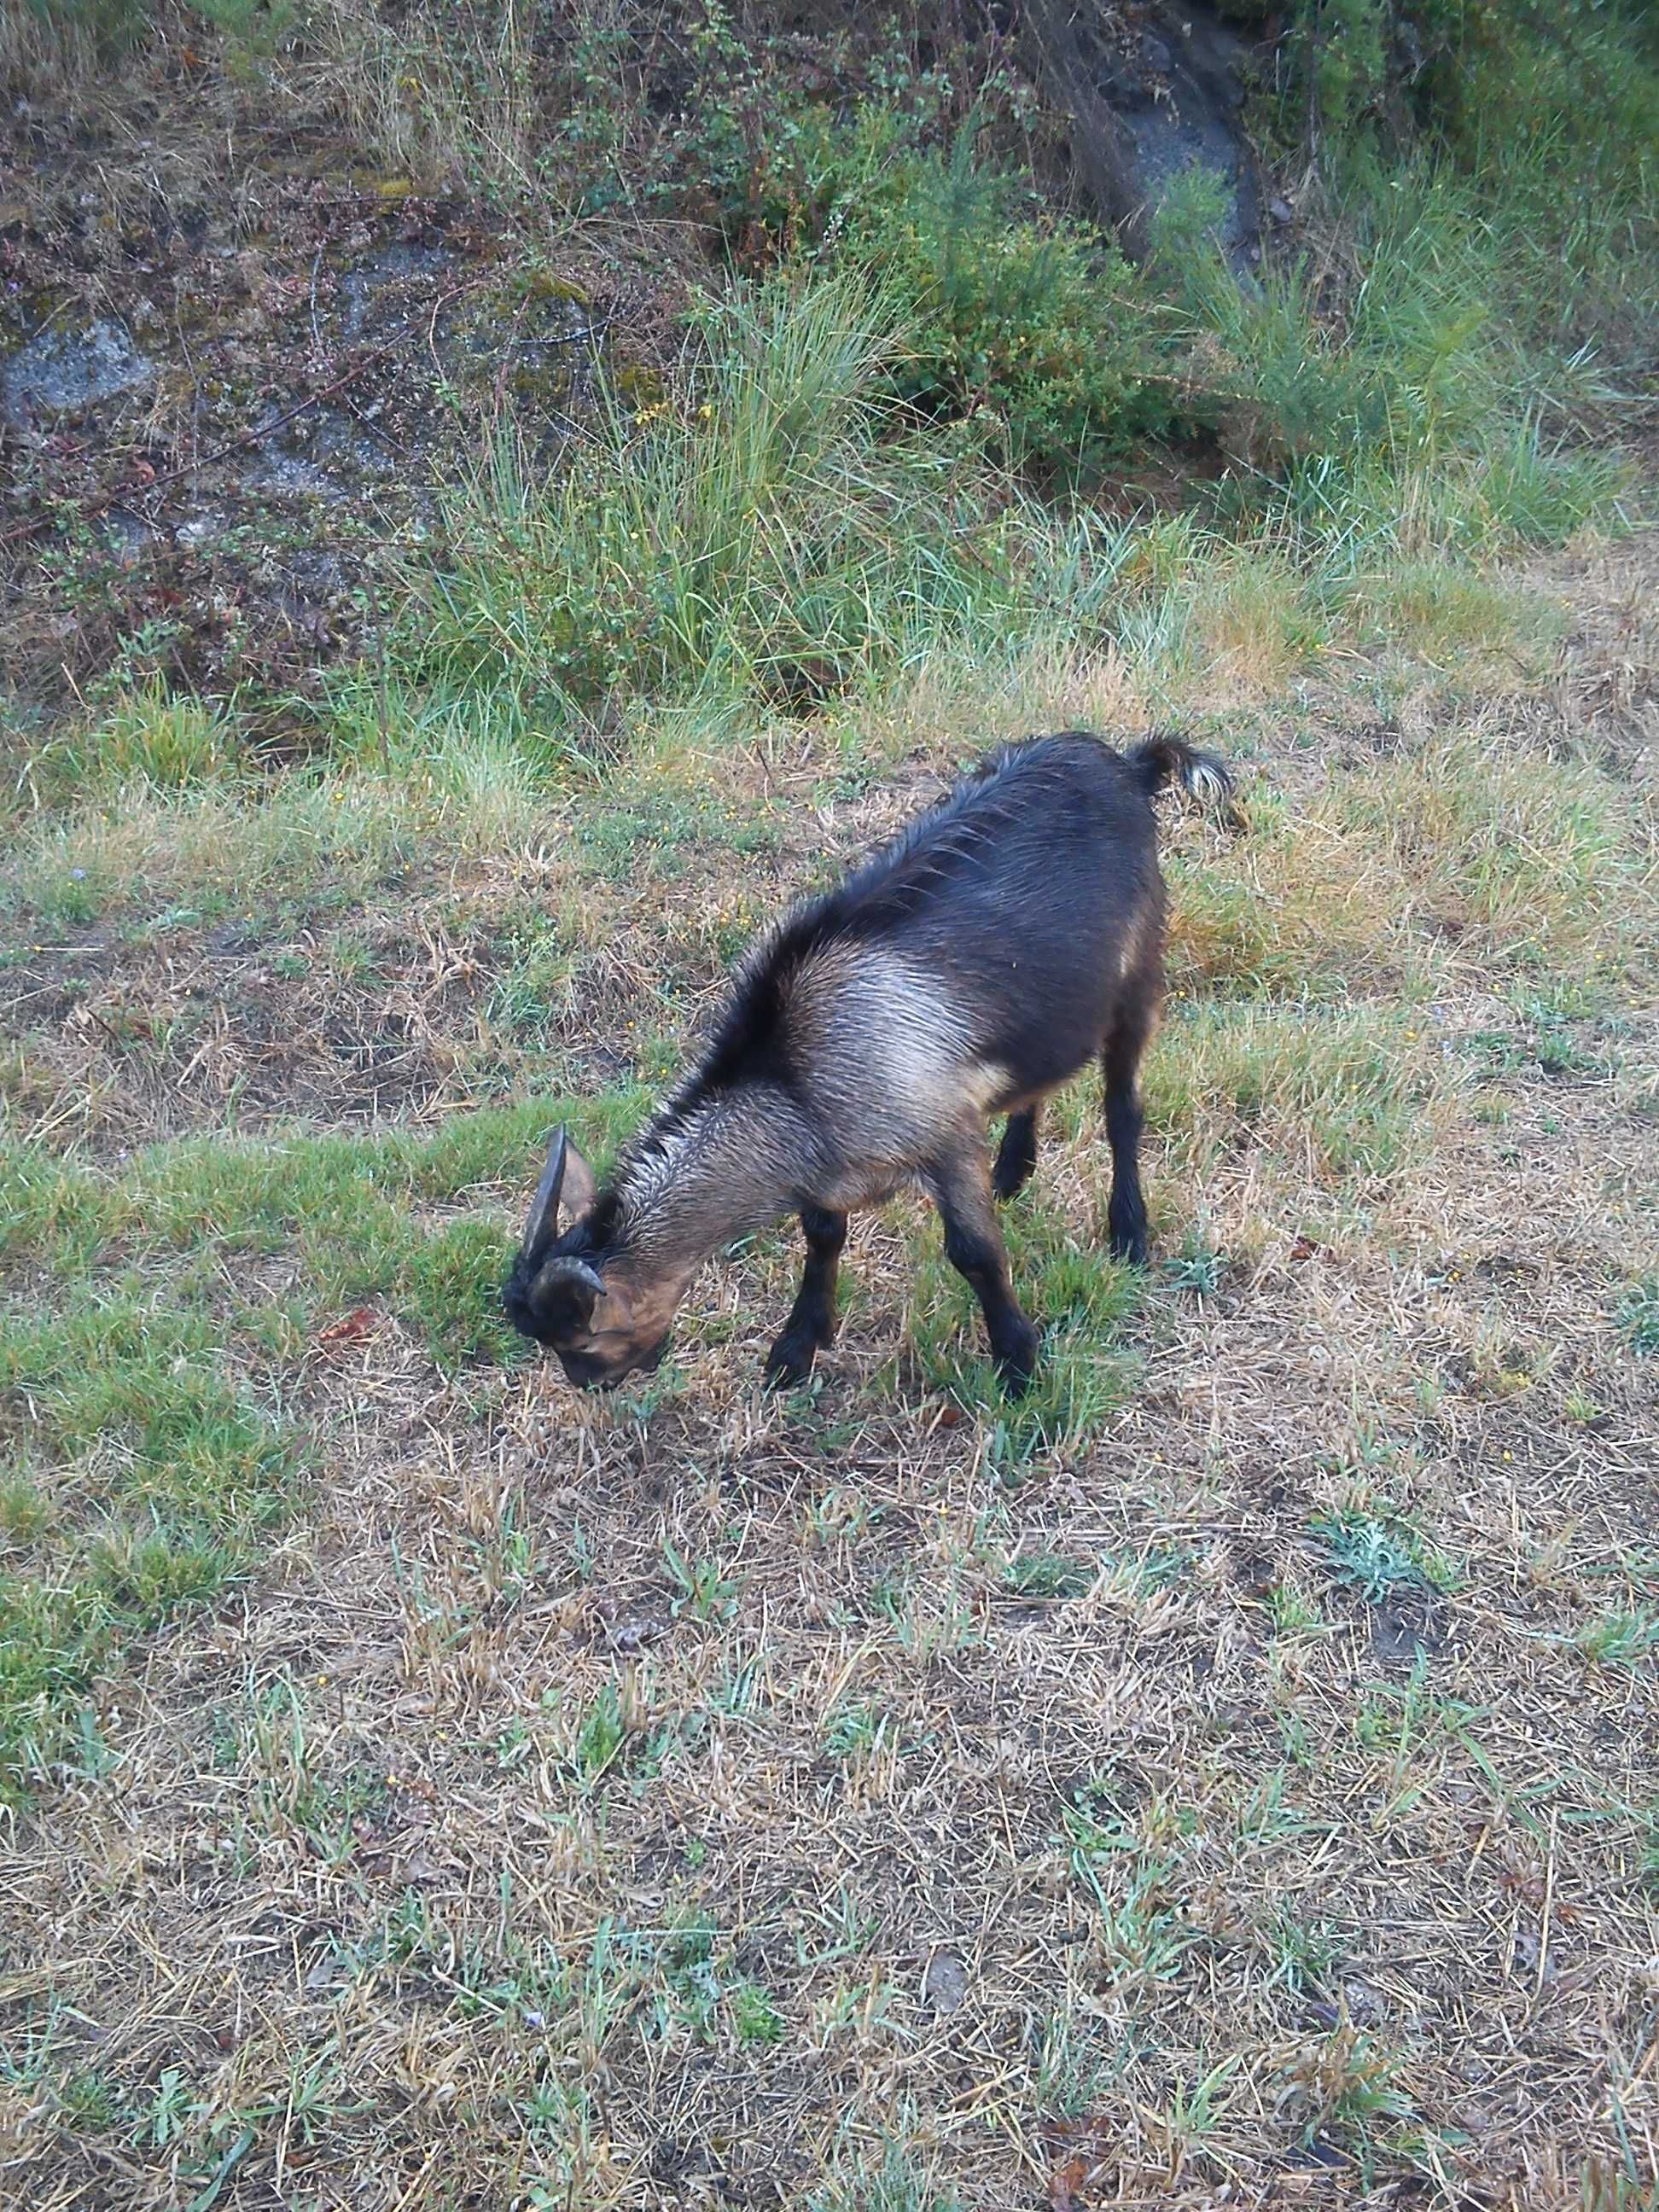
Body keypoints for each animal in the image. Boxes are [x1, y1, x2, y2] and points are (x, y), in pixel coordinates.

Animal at [506, 742, 1238, 1398]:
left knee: (1122, 1107)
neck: (792, 1079)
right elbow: (824, 1235)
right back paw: (1013, 1171)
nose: (593, 1386)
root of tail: (1129, 764)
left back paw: (1129, 1233)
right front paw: (796, 1349)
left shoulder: (943, 1133)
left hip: (1139, 975)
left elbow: (976, 1255)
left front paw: (1019, 1364)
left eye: (580, 1340)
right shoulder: (832, 1166)